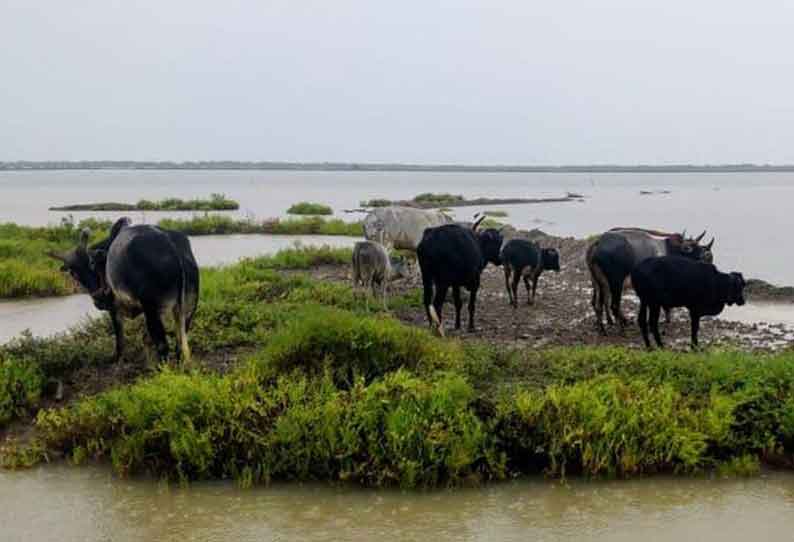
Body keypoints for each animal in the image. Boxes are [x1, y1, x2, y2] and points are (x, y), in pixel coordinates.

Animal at [48, 218, 198, 366]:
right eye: (73, 273)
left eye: (91, 263)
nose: (98, 298)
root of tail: (172, 247)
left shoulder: (114, 307)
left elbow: (120, 339)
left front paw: (118, 361)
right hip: (188, 307)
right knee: (180, 341)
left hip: (152, 310)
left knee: (163, 345)